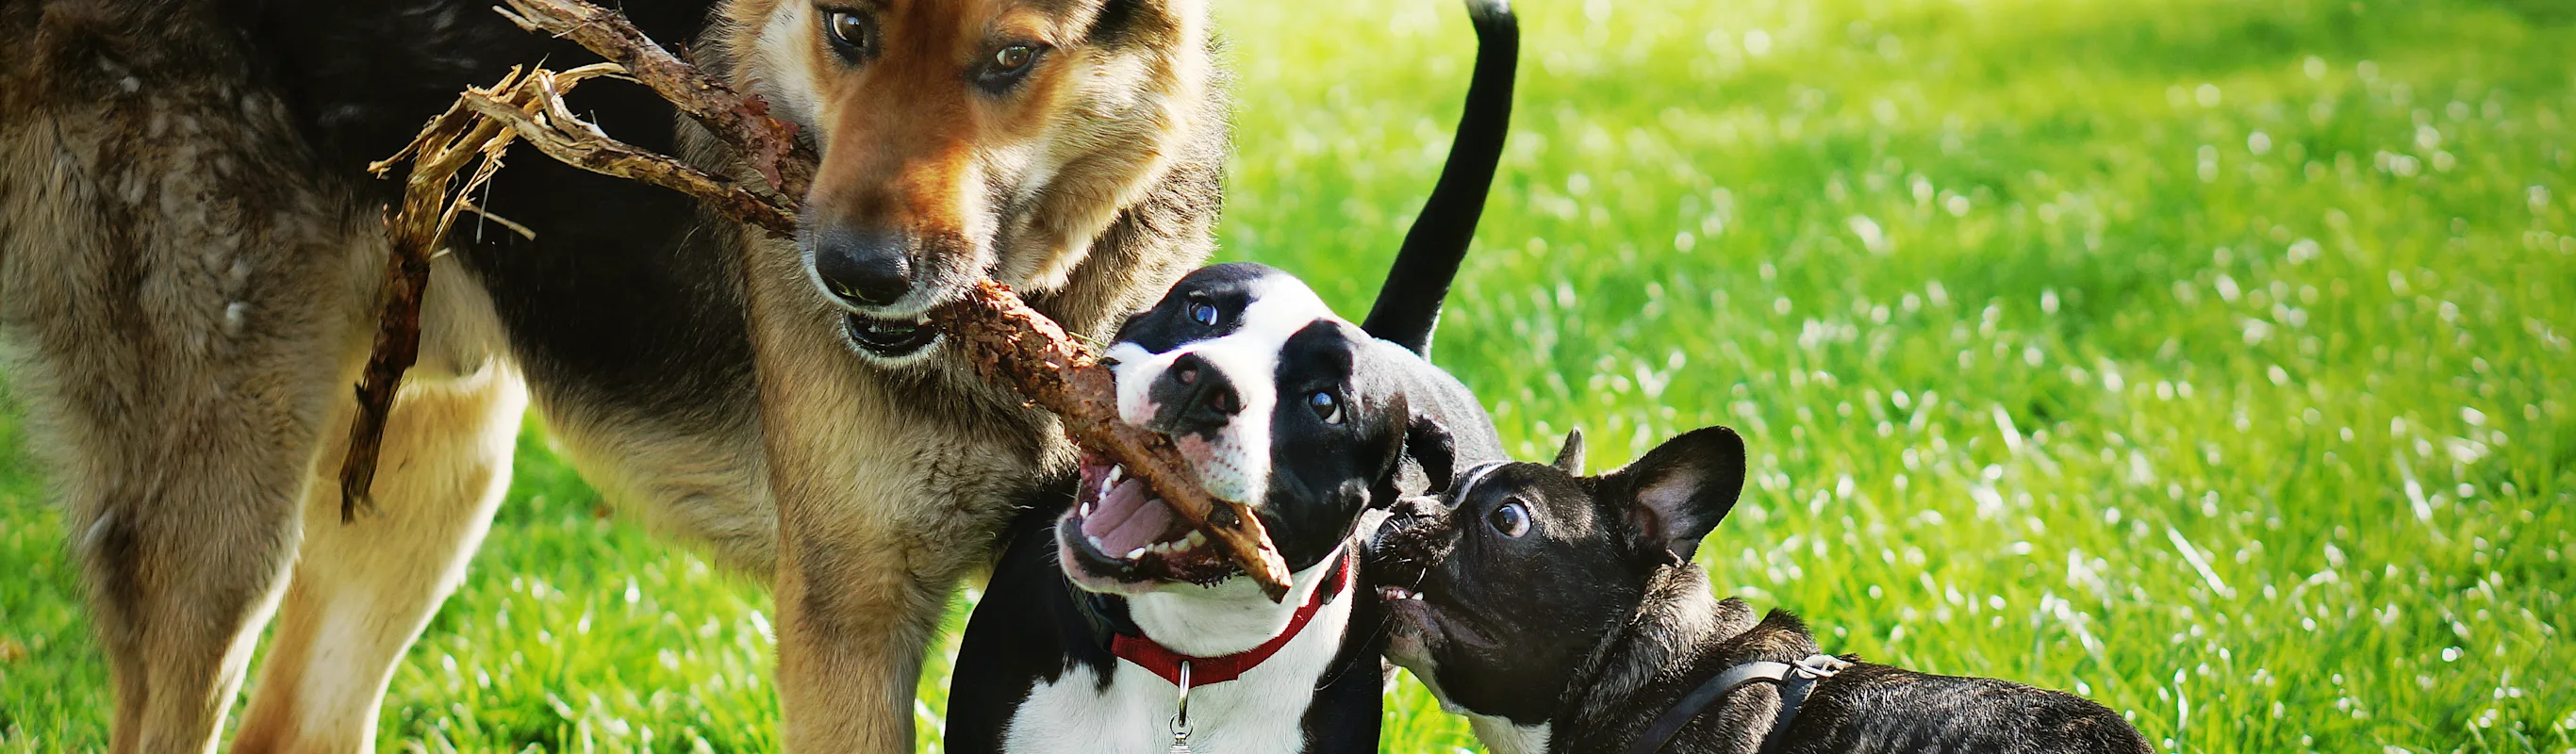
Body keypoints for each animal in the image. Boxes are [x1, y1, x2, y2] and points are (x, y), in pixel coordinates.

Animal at [8, 0, 1215, 746]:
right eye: (847, 28)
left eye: (1011, 59)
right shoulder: (850, 623)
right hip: (224, 522)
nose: (856, 274)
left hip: (432, 469)